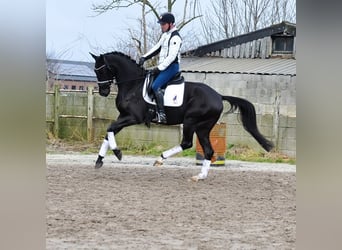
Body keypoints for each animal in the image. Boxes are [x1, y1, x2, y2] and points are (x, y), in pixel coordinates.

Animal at [89, 51, 274, 180]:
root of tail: (218, 96)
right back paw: (200, 176)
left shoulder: (133, 118)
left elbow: (110, 128)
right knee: (208, 150)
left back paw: (161, 159)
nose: (103, 92)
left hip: (191, 121)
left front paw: (117, 152)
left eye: (102, 70)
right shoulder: (123, 116)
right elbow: (109, 132)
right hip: (203, 128)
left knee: (187, 143)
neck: (133, 85)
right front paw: (99, 160)